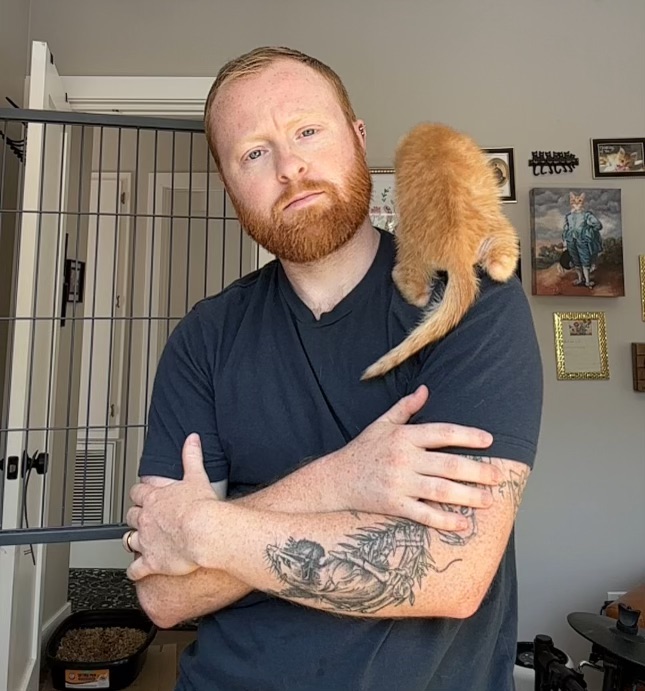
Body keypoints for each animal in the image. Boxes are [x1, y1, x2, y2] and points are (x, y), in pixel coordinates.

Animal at [361, 122, 520, 380]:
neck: (435, 134)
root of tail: (458, 252)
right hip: (501, 230)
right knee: (500, 264)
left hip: (409, 248)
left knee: (414, 287)